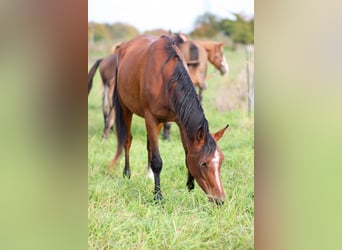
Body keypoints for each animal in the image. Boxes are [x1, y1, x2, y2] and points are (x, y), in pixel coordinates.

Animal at [109, 34, 228, 204]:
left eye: (221, 161)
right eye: (203, 163)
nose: (220, 200)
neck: (165, 76)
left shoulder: (179, 120)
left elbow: (186, 153)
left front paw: (189, 186)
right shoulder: (150, 118)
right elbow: (157, 161)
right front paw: (158, 196)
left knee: (149, 145)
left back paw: (149, 175)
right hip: (126, 108)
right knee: (127, 140)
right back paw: (127, 173)